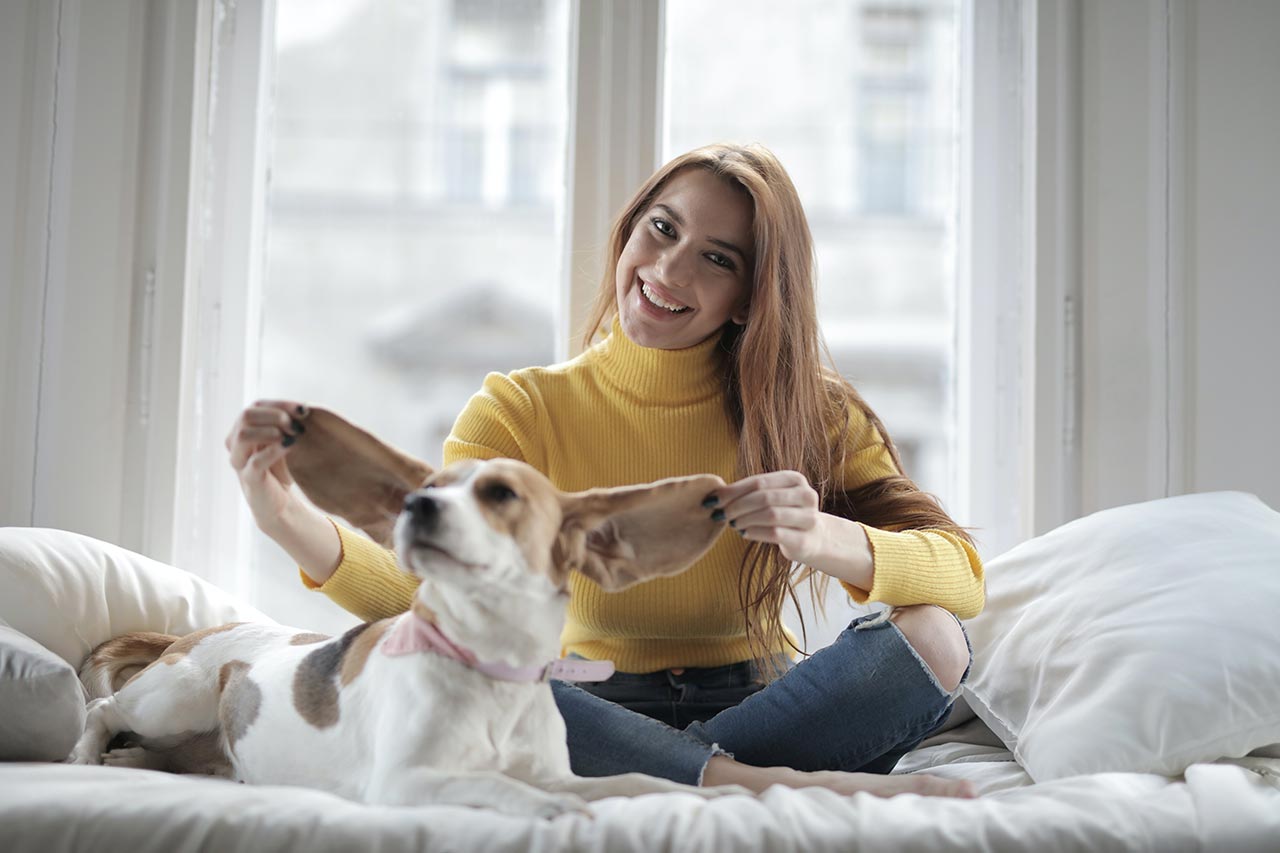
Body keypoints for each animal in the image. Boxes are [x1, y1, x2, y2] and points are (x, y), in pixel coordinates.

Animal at [70, 409, 747, 814]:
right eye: (430, 487)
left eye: (501, 493)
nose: (416, 505)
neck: (491, 671)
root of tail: (200, 632)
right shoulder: (406, 779)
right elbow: (501, 784)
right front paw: (561, 813)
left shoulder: (559, 772)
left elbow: (635, 782)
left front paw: (708, 796)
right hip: (173, 702)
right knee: (104, 709)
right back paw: (86, 753)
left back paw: (135, 759)